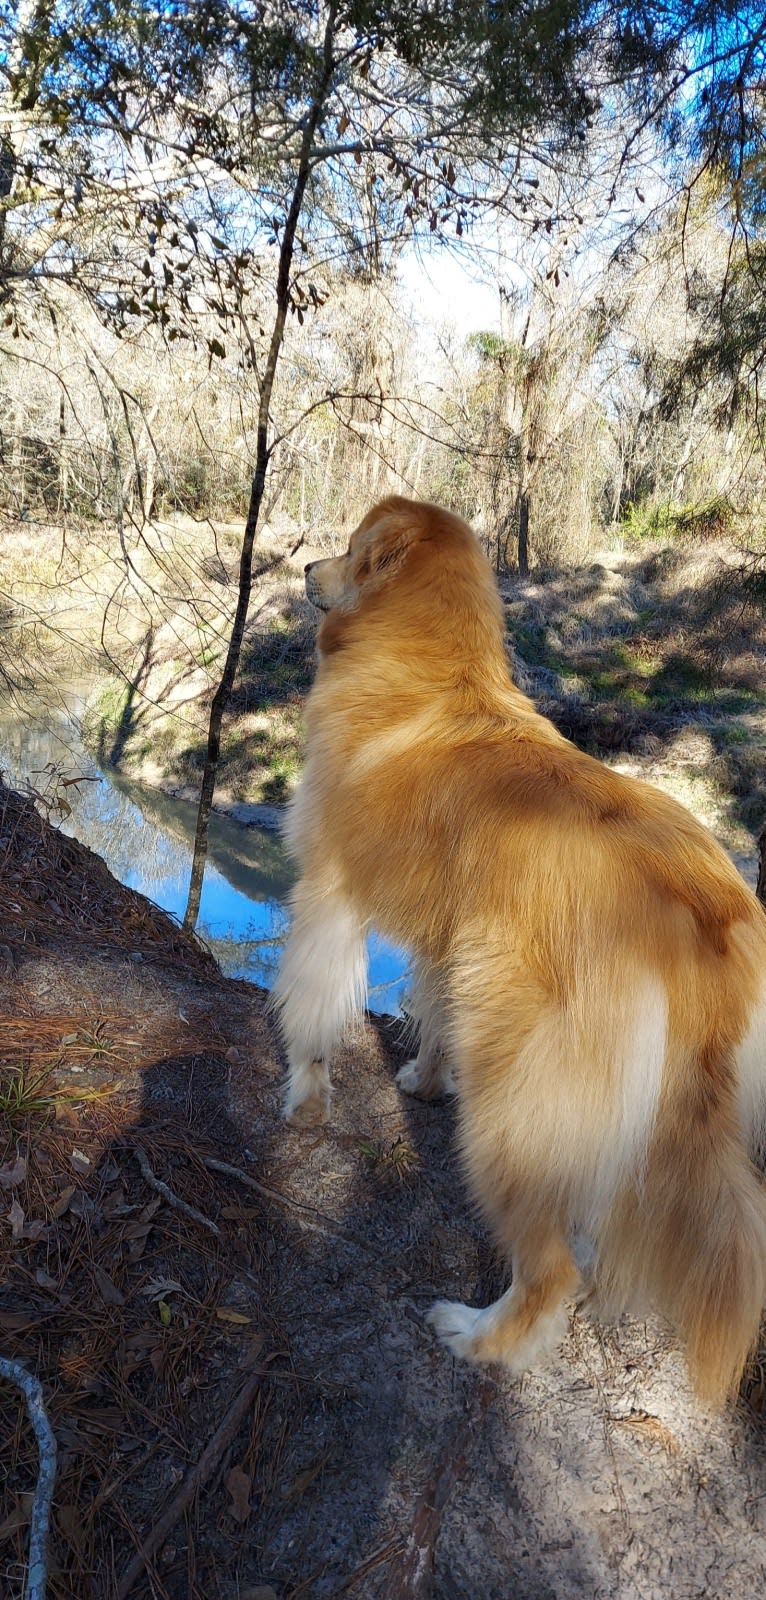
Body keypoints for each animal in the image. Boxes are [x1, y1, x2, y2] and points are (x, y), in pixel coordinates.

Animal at [275, 496, 766, 1401]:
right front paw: (424, 1080)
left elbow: (312, 1011)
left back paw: (478, 1337)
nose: (304, 569)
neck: (434, 676)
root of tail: (701, 908)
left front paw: (306, 1096)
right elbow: (434, 1011)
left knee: (551, 1273)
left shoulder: (327, 892)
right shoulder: (450, 937)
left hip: (517, 1110)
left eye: (351, 551)